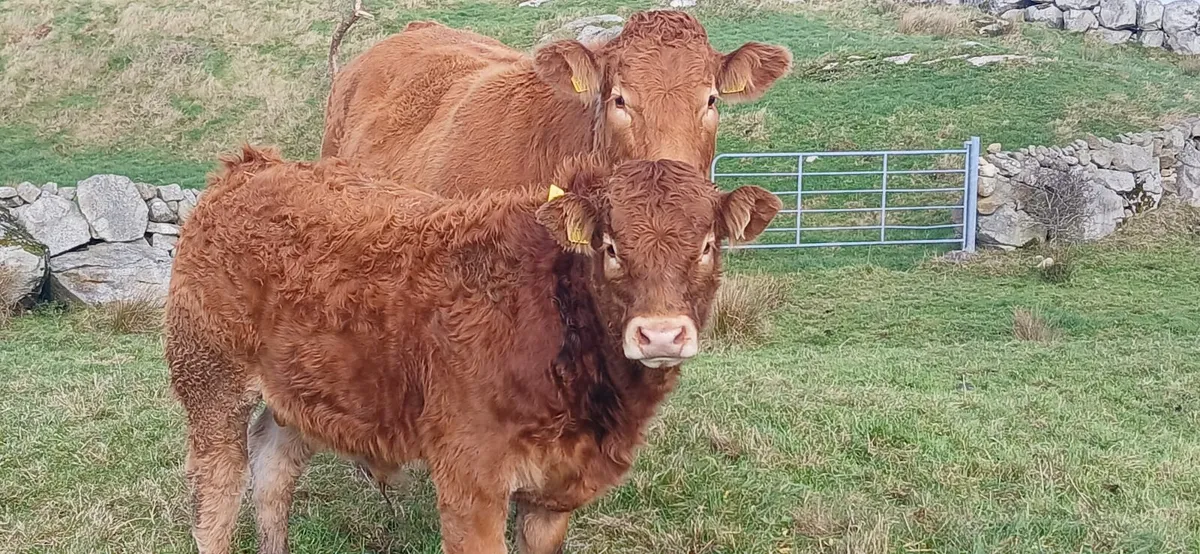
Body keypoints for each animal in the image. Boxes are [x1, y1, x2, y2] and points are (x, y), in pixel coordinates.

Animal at [166, 146, 781, 554]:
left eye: (708, 245)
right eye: (610, 247)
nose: (660, 334)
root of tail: (252, 164)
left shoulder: (551, 497)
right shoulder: (470, 480)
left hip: (300, 392)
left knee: (273, 471)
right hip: (209, 381)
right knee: (216, 494)